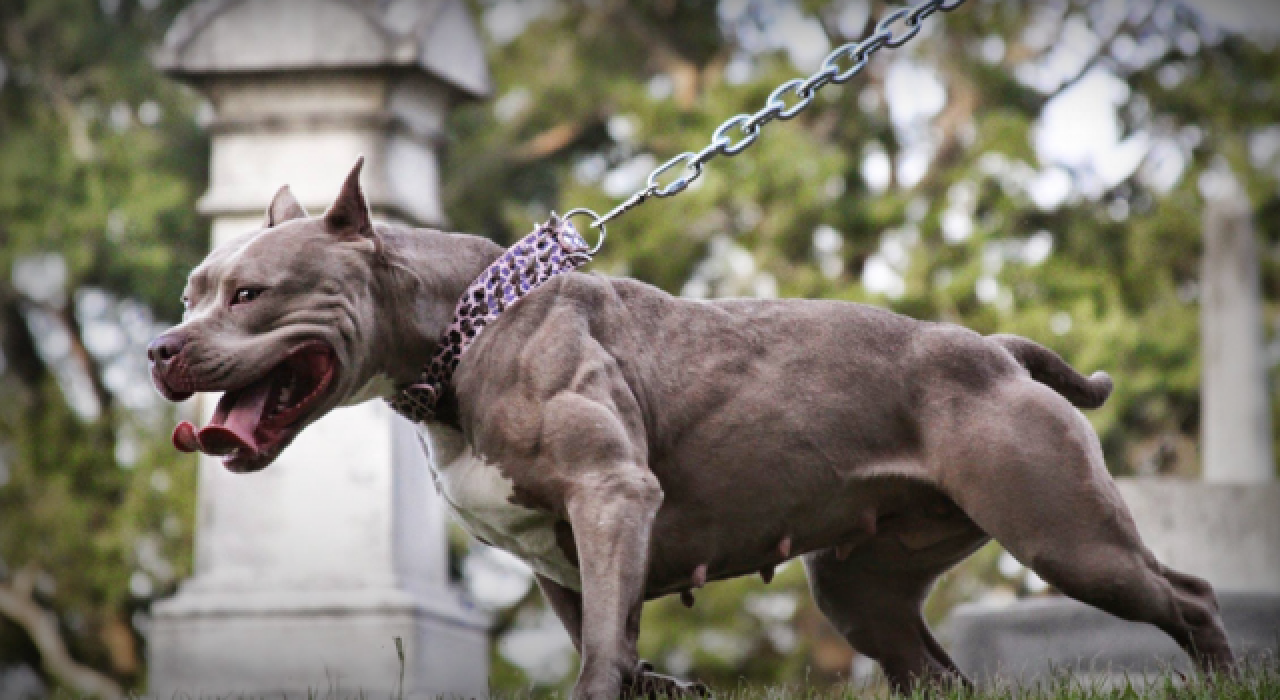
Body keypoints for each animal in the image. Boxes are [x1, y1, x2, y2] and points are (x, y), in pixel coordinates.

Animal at [147, 161, 1228, 696]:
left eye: (249, 294)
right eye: (192, 292)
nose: (160, 347)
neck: (461, 329)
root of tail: (995, 348)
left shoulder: (611, 497)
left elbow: (599, 662)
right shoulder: (561, 559)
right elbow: (613, 646)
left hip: (1064, 535)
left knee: (1188, 594)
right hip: (861, 589)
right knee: (937, 670)